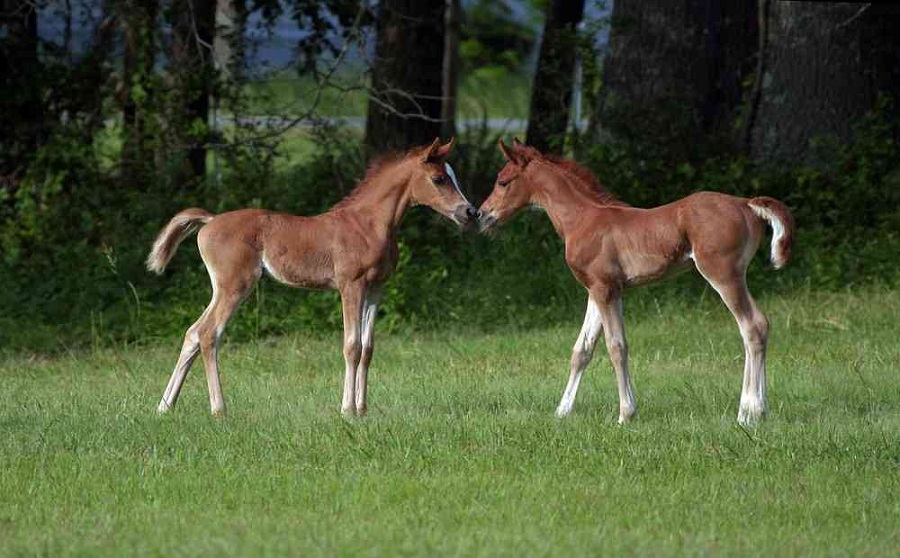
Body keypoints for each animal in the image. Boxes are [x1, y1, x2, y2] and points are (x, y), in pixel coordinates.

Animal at [146, 139, 478, 420]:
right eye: (439, 178)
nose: (469, 212)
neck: (367, 224)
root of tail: (210, 220)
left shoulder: (376, 289)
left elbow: (368, 348)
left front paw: (363, 410)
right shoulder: (350, 285)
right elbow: (352, 346)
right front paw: (347, 411)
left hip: (222, 288)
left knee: (193, 332)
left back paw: (165, 406)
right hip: (235, 285)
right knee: (208, 333)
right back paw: (219, 409)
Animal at [478, 139, 796, 424]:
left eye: (503, 182)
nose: (481, 214)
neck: (582, 218)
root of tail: (746, 204)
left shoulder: (605, 289)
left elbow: (616, 347)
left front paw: (625, 414)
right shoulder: (600, 290)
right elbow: (582, 350)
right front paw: (562, 412)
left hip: (724, 275)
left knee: (753, 326)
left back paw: (750, 413)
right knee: (757, 327)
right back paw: (754, 410)